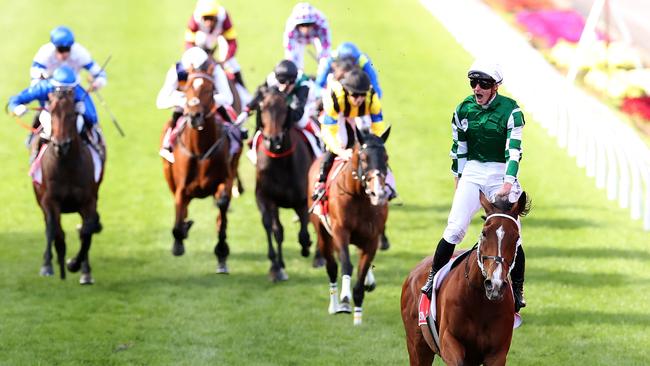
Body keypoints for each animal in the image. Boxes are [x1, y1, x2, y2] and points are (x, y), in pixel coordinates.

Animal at [33, 90, 102, 284]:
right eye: (51, 114)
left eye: (72, 115)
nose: (61, 145)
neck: (67, 166)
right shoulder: (50, 201)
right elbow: (56, 232)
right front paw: (53, 265)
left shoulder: (88, 201)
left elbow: (86, 232)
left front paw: (79, 267)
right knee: (51, 228)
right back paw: (51, 262)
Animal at [160, 65, 233, 272]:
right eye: (187, 89)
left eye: (210, 89)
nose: (195, 116)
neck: (200, 150)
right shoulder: (181, 188)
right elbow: (178, 220)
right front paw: (179, 240)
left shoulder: (225, 180)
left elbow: (222, 206)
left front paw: (222, 251)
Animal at [254, 87, 312, 282]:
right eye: (262, 107)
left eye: (284, 109)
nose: (273, 140)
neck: (280, 162)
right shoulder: (266, 198)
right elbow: (275, 229)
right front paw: (276, 267)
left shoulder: (303, 201)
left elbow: (304, 233)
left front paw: (307, 246)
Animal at [306, 126, 388, 326]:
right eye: (363, 158)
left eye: (386, 158)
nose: (378, 192)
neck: (359, 197)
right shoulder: (340, 232)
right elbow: (346, 265)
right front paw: (344, 300)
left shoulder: (371, 240)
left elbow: (361, 274)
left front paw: (358, 316)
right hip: (323, 234)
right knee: (332, 267)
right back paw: (334, 305)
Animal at [398, 193, 528, 364]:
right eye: (484, 233)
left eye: (516, 237)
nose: (495, 285)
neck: (479, 300)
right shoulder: (449, 341)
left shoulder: (497, 353)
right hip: (417, 347)